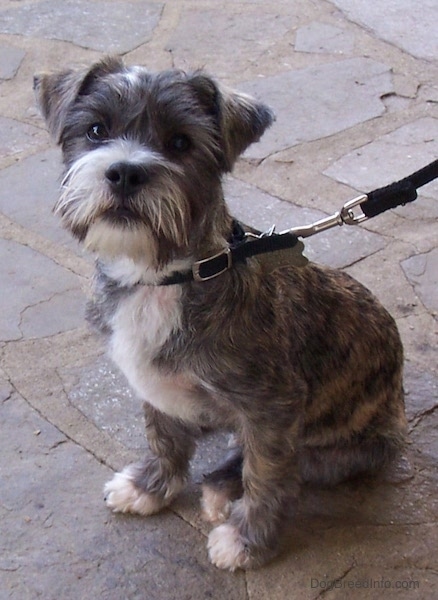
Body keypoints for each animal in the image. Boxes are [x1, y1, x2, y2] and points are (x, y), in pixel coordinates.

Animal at [35, 57, 408, 572]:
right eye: (95, 129)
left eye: (180, 142)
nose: (125, 173)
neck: (169, 276)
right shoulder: (154, 383)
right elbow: (163, 436)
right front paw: (151, 487)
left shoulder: (274, 407)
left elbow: (267, 475)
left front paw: (248, 540)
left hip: (351, 446)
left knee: (286, 461)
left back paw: (221, 490)